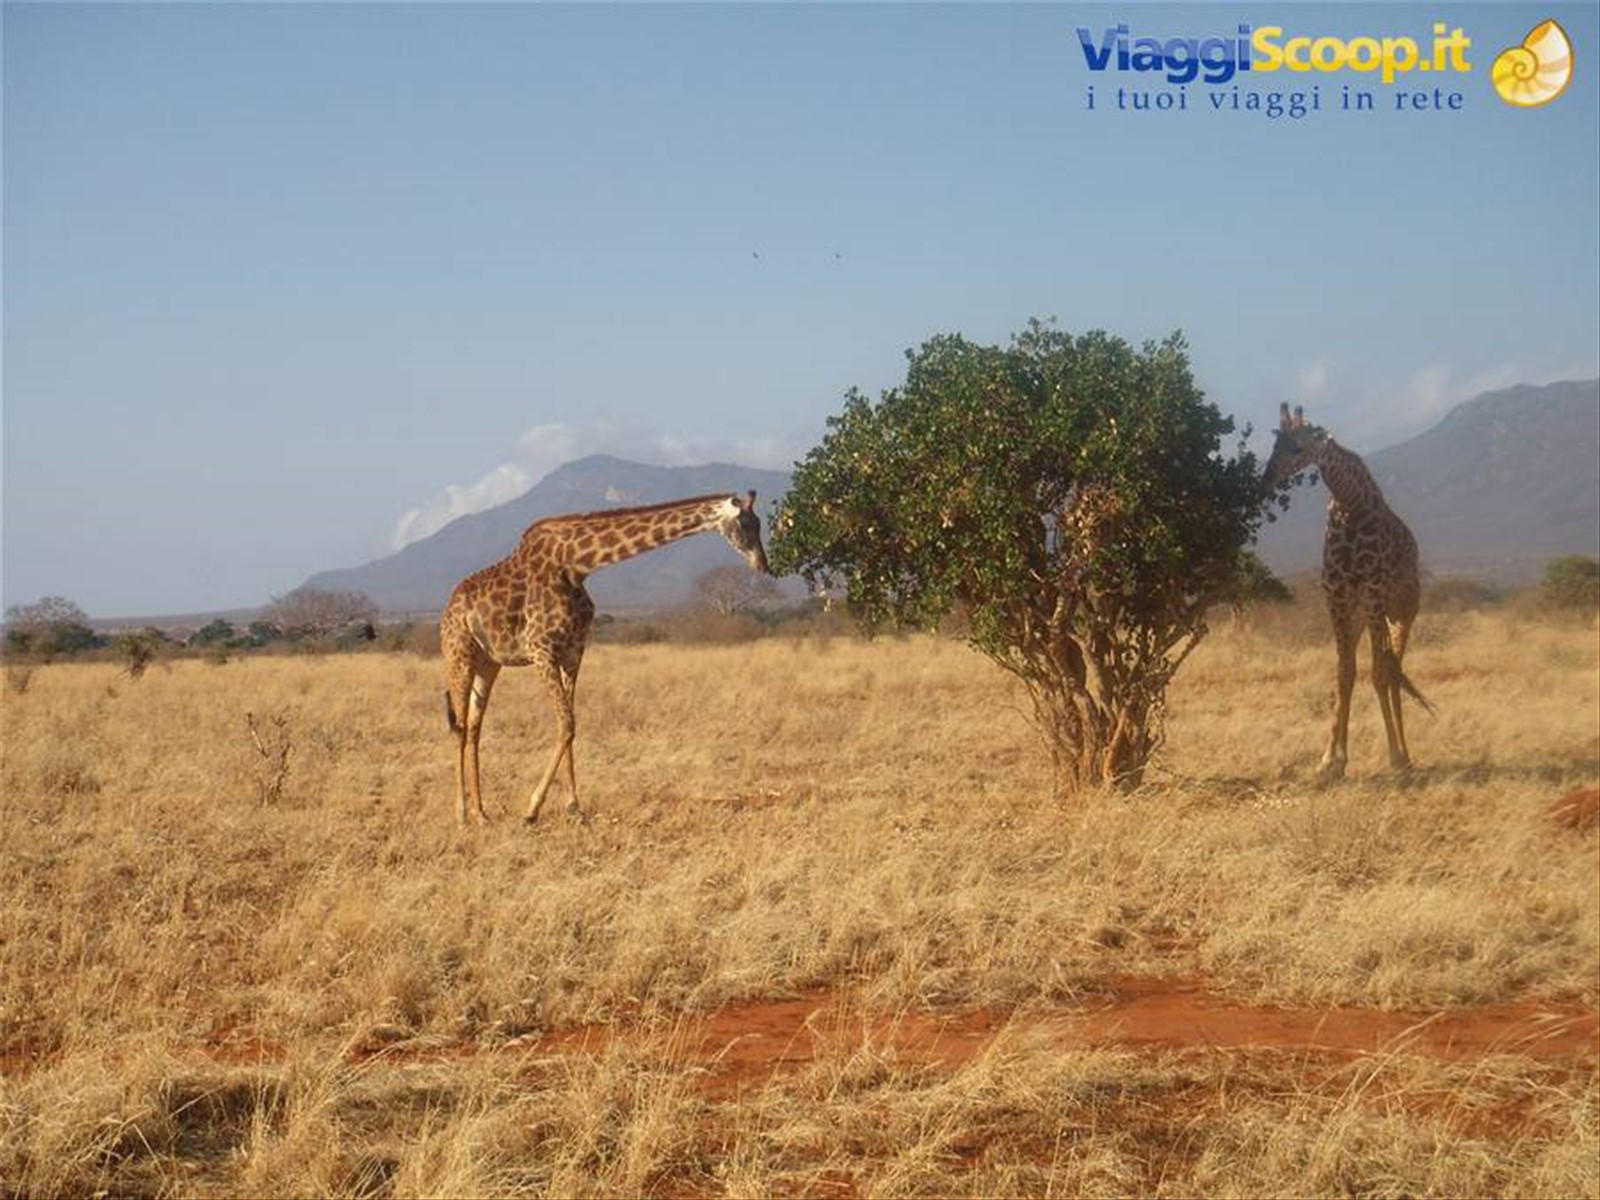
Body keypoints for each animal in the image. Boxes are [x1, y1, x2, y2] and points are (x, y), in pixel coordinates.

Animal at [440, 492, 770, 826]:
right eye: (745, 523)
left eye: (759, 523)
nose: (763, 565)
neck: (576, 565)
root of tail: (449, 606)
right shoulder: (540, 649)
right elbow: (566, 723)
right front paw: (532, 810)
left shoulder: (573, 651)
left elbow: (570, 726)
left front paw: (574, 807)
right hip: (458, 655)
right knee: (461, 727)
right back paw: (461, 814)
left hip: (488, 664)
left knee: (475, 727)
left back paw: (481, 813)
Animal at [1263, 403, 1434, 782]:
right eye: (1275, 444)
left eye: (1297, 447)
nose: (1266, 480)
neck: (1349, 503)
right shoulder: (1337, 599)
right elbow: (1344, 676)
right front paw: (1331, 760)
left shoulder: (1372, 595)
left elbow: (1378, 675)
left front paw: (1395, 757)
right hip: (1360, 618)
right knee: (1378, 668)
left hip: (1401, 612)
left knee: (1393, 670)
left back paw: (1406, 755)